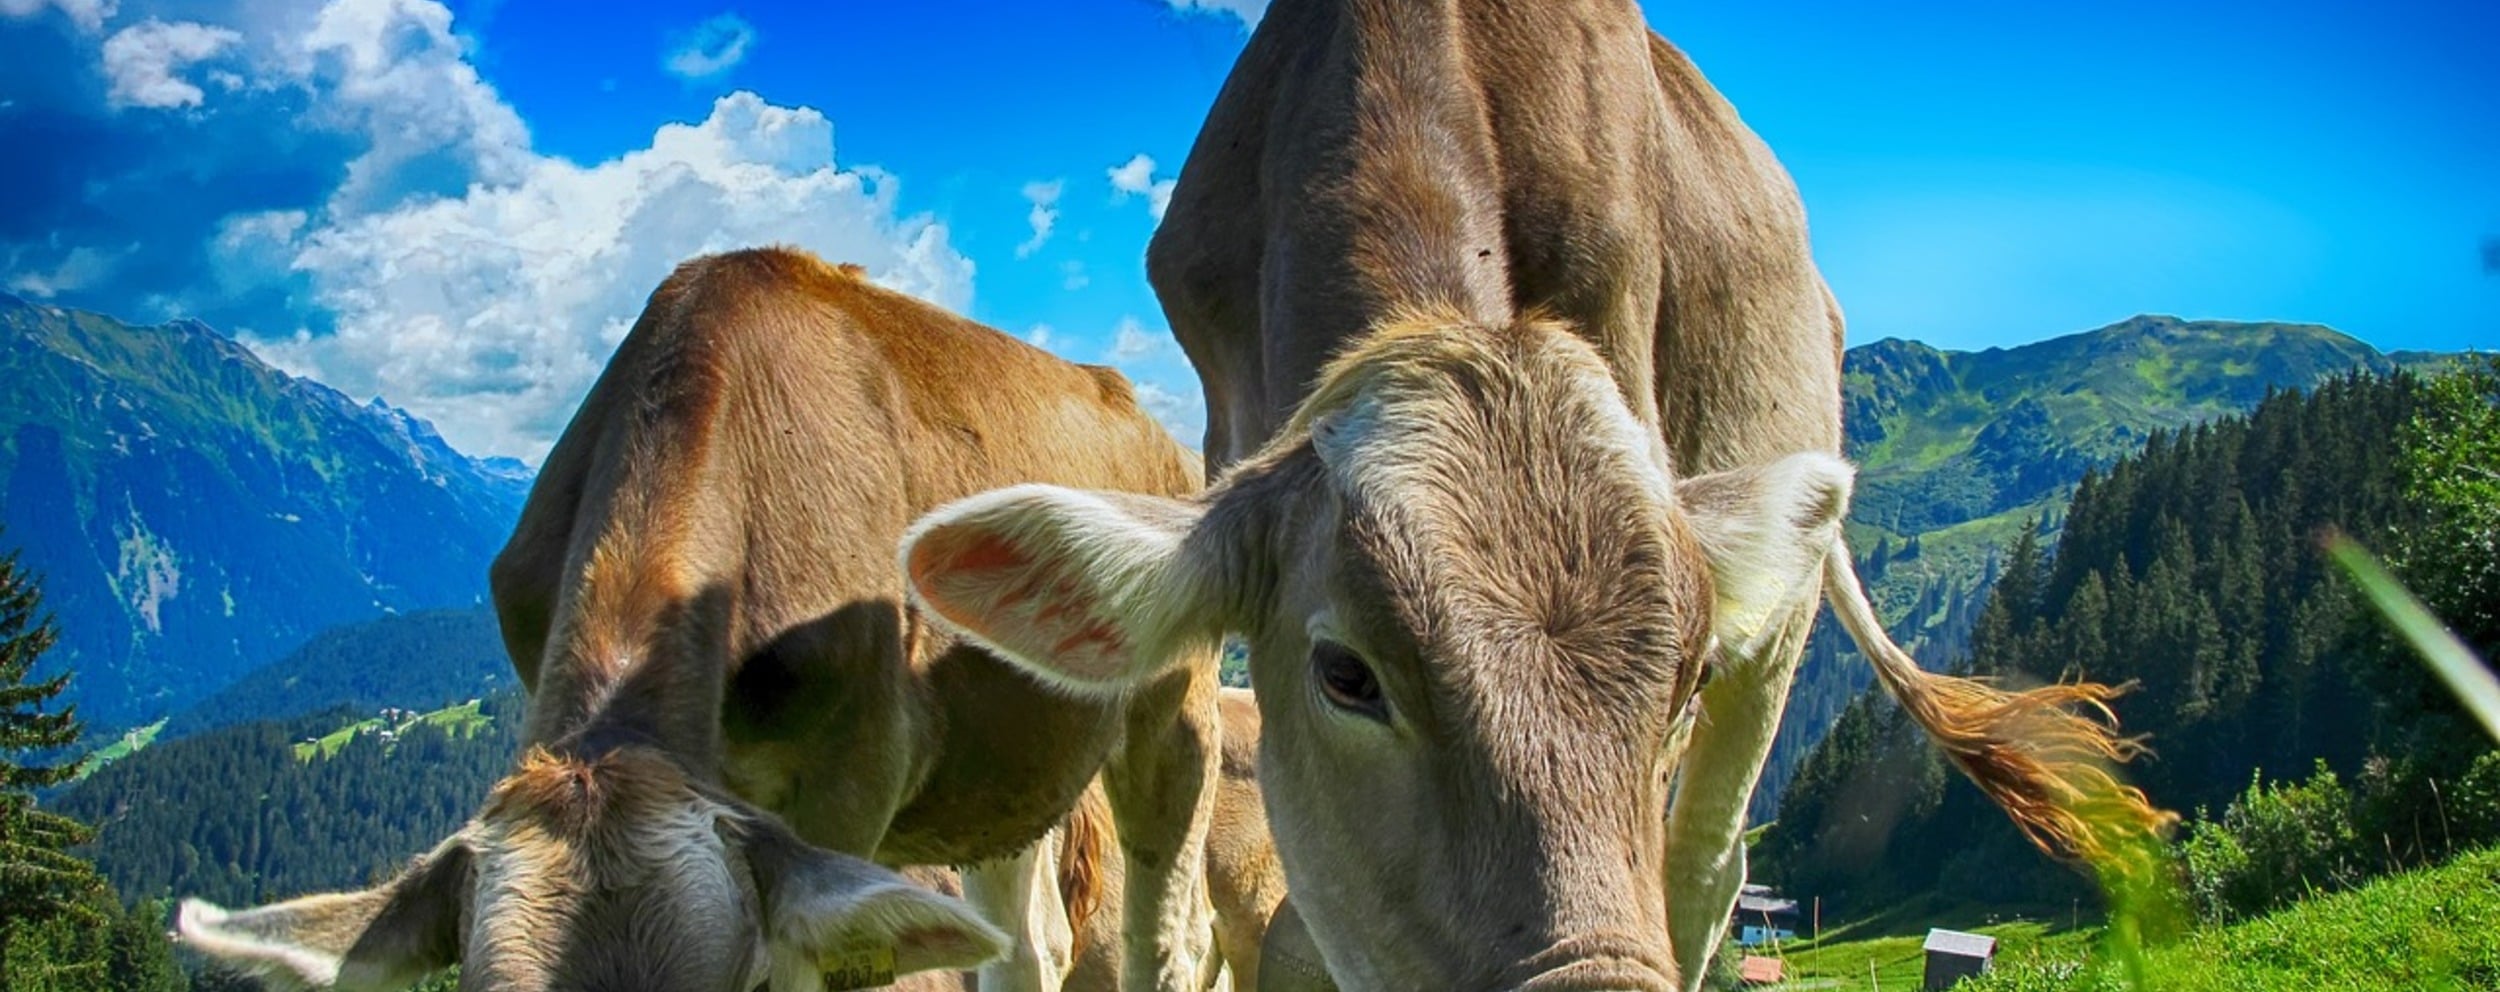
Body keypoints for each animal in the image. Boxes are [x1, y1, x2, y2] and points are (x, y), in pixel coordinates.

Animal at [173, 249, 1220, 989]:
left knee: (1168, 938)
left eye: (736, 985)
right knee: (1025, 946)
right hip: (1005, 769)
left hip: (1174, 711)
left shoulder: (850, 785)